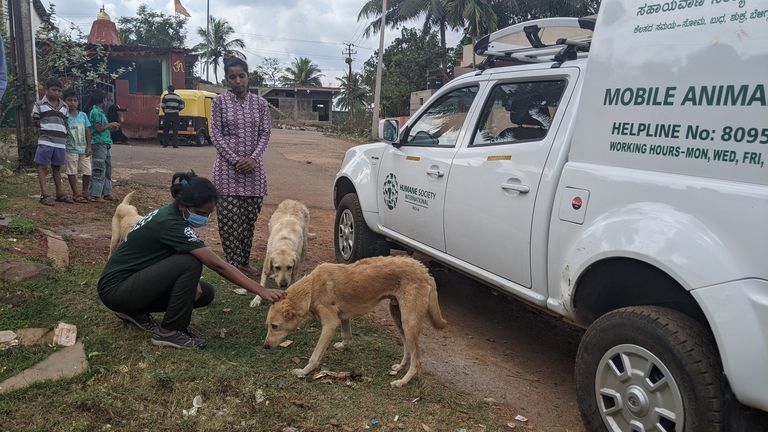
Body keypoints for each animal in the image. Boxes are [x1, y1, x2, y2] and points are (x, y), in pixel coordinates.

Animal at [264, 256, 448, 388]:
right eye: (269, 326)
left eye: (275, 326)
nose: (265, 346)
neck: (311, 288)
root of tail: (425, 271)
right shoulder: (343, 317)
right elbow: (348, 336)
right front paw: (343, 345)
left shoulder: (330, 324)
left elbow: (315, 356)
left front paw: (303, 372)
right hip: (399, 318)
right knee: (408, 349)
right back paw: (400, 368)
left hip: (409, 323)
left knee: (417, 359)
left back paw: (402, 381)